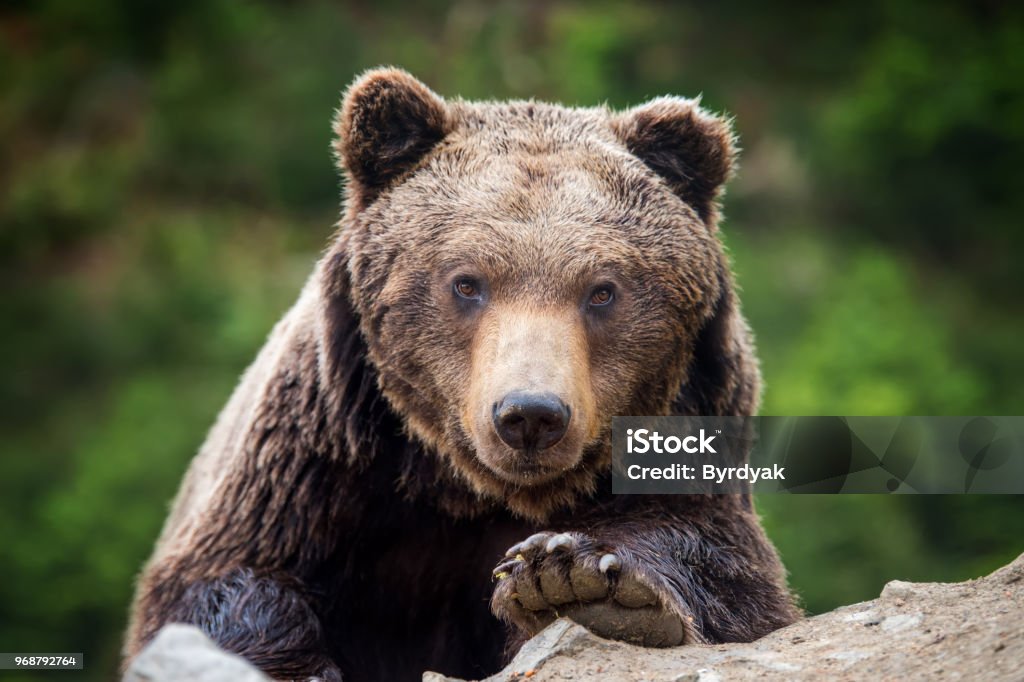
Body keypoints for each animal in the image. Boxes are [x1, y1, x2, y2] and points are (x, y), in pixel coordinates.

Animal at [123, 65, 798, 679]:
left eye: (603, 291)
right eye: (467, 282)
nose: (530, 415)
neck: (462, 489)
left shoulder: (691, 437)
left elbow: (732, 576)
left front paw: (578, 579)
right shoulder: (316, 466)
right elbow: (217, 585)